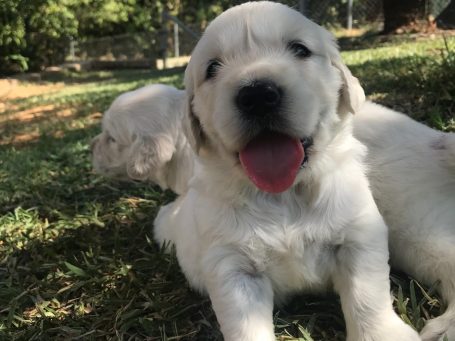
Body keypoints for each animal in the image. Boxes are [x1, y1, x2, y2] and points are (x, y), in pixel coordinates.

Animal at [154, 2, 420, 340]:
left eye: (299, 49)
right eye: (212, 68)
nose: (257, 95)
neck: (286, 195)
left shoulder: (359, 235)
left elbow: (367, 295)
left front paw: (381, 333)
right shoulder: (233, 267)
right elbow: (245, 325)